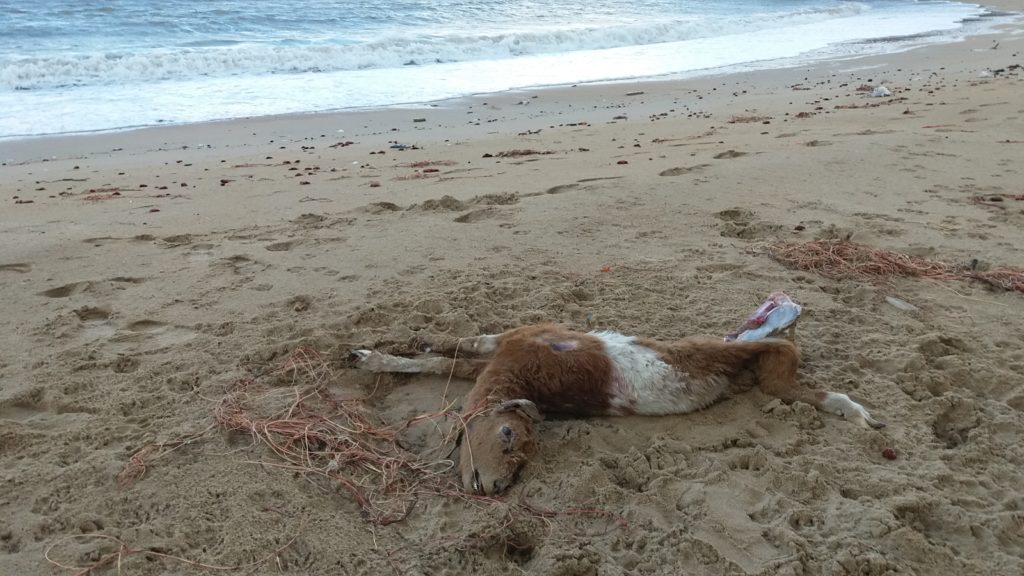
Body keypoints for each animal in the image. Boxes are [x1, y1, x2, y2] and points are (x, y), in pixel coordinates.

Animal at [352, 323, 880, 494]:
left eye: (513, 441)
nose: (498, 488)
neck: (523, 376)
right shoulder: (507, 350)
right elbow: (455, 355)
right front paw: (382, 352)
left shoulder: (515, 345)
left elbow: (461, 350)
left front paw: (379, 352)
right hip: (740, 369)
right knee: (782, 380)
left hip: (711, 349)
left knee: (783, 352)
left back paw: (853, 408)